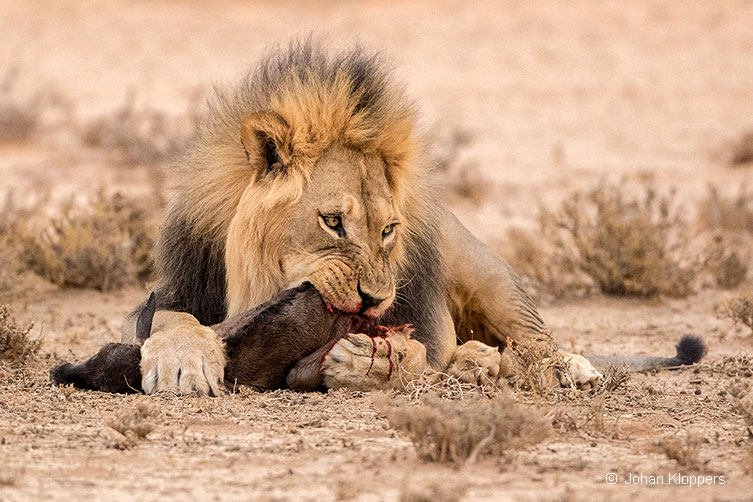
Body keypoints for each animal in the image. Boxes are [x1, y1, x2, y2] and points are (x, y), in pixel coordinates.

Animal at [119, 41, 607, 395]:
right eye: (333, 222)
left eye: (388, 230)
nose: (374, 299)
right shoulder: (172, 293)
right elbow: (173, 321)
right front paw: (182, 361)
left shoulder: (424, 327)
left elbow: (417, 353)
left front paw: (368, 361)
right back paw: (476, 363)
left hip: (488, 276)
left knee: (534, 337)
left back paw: (563, 369)